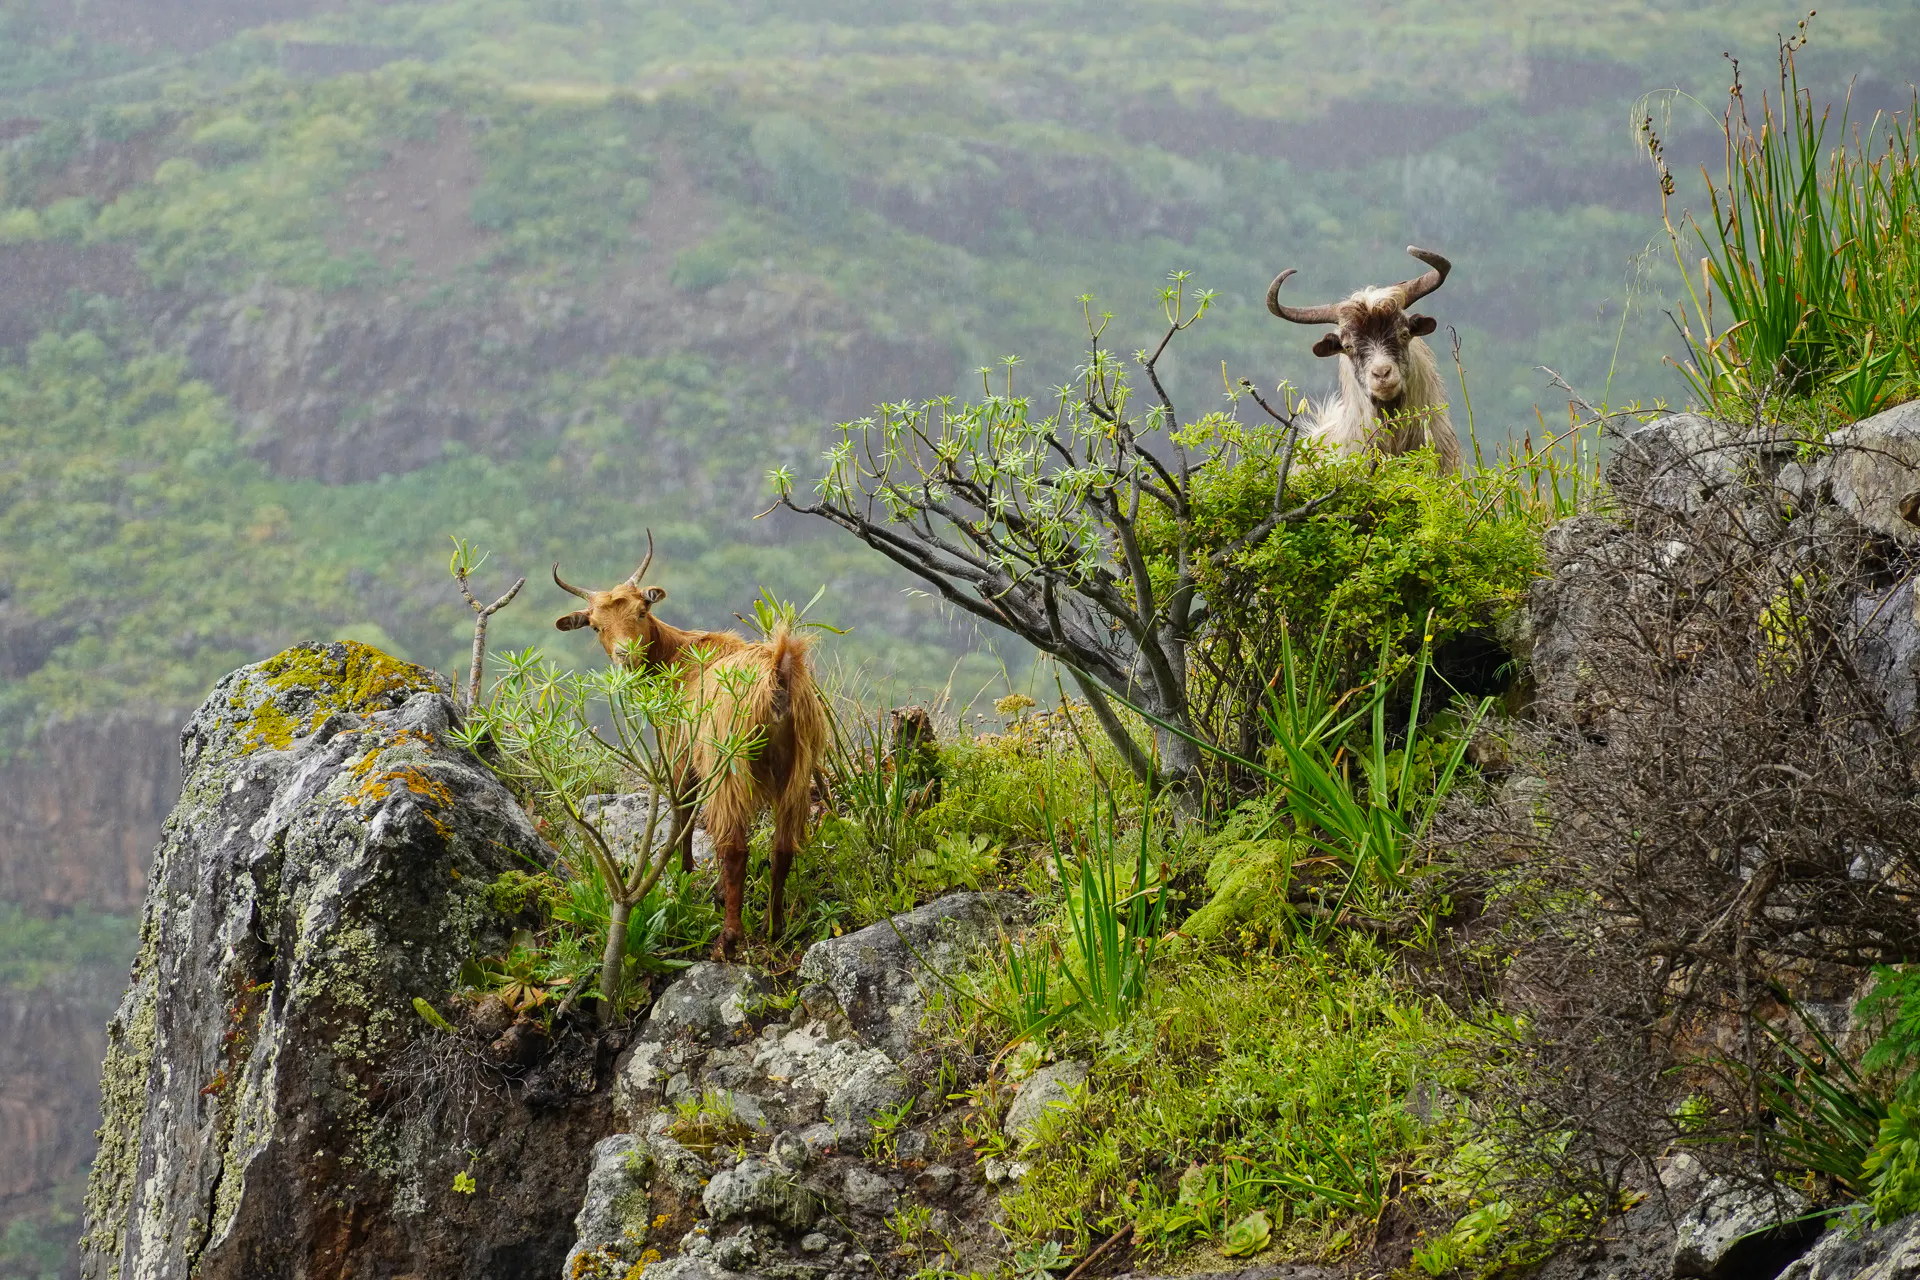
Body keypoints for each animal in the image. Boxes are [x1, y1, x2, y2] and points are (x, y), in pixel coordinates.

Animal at [552, 535, 827, 959]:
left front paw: (683, 877)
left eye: (643, 611)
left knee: (734, 848)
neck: (679, 657)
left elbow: (682, 812)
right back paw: (774, 926)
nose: (626, 654)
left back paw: (728, 938)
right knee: (782, 847)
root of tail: (777, 674)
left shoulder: (678, 755)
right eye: (596, 626)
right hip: (797, 767)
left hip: (729, 762)